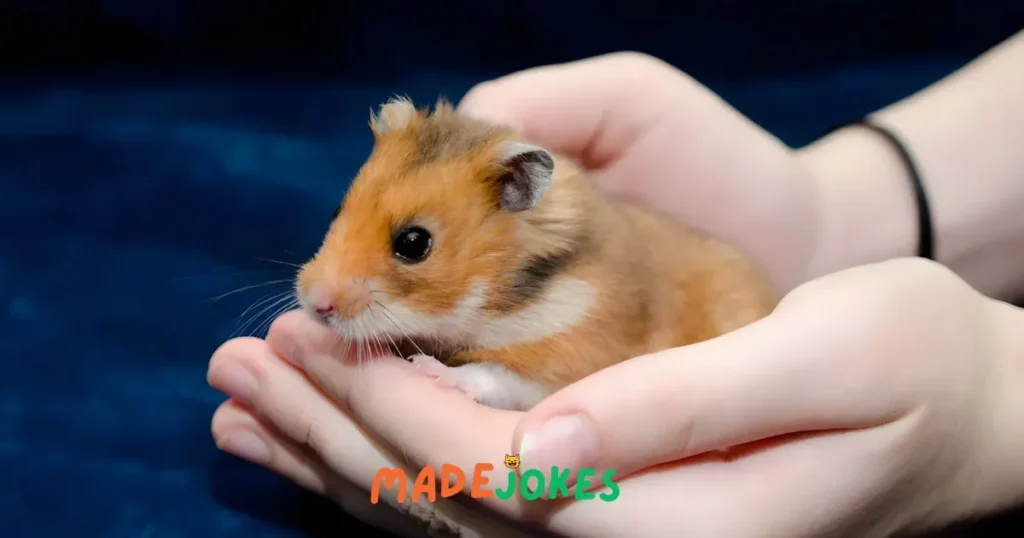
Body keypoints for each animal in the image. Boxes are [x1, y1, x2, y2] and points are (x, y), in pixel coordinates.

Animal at [294, 97, 777, 411]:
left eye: (413, 243)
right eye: (337, 211)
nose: (316, 305)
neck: (500, 299)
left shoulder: (566, 358)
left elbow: (494, 375)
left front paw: (429, 369)